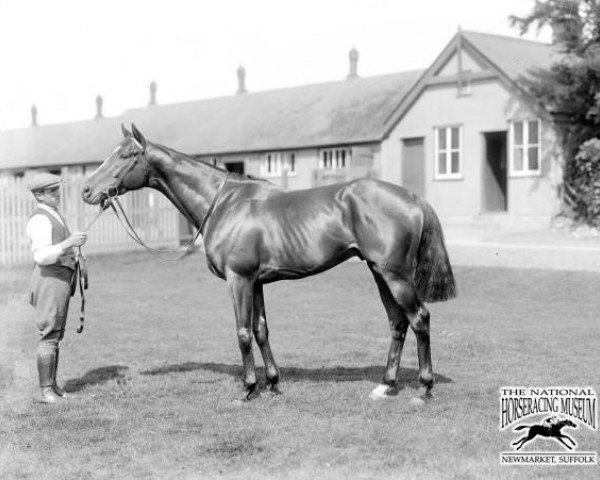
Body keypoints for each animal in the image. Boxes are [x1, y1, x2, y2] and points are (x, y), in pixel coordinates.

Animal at [82, 124, 458, 402]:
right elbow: (262, 331)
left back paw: (424, 389)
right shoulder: (257, 282)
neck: (224, 202)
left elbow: (243, 333)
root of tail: (412, 197)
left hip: (395, 275)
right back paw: (385, 385)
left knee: (419, 319)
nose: (87, 190)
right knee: (398, 323)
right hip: (379, 272)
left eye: (127, 155)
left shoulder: (239, 279)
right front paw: (274, 384)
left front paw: (249, 389)